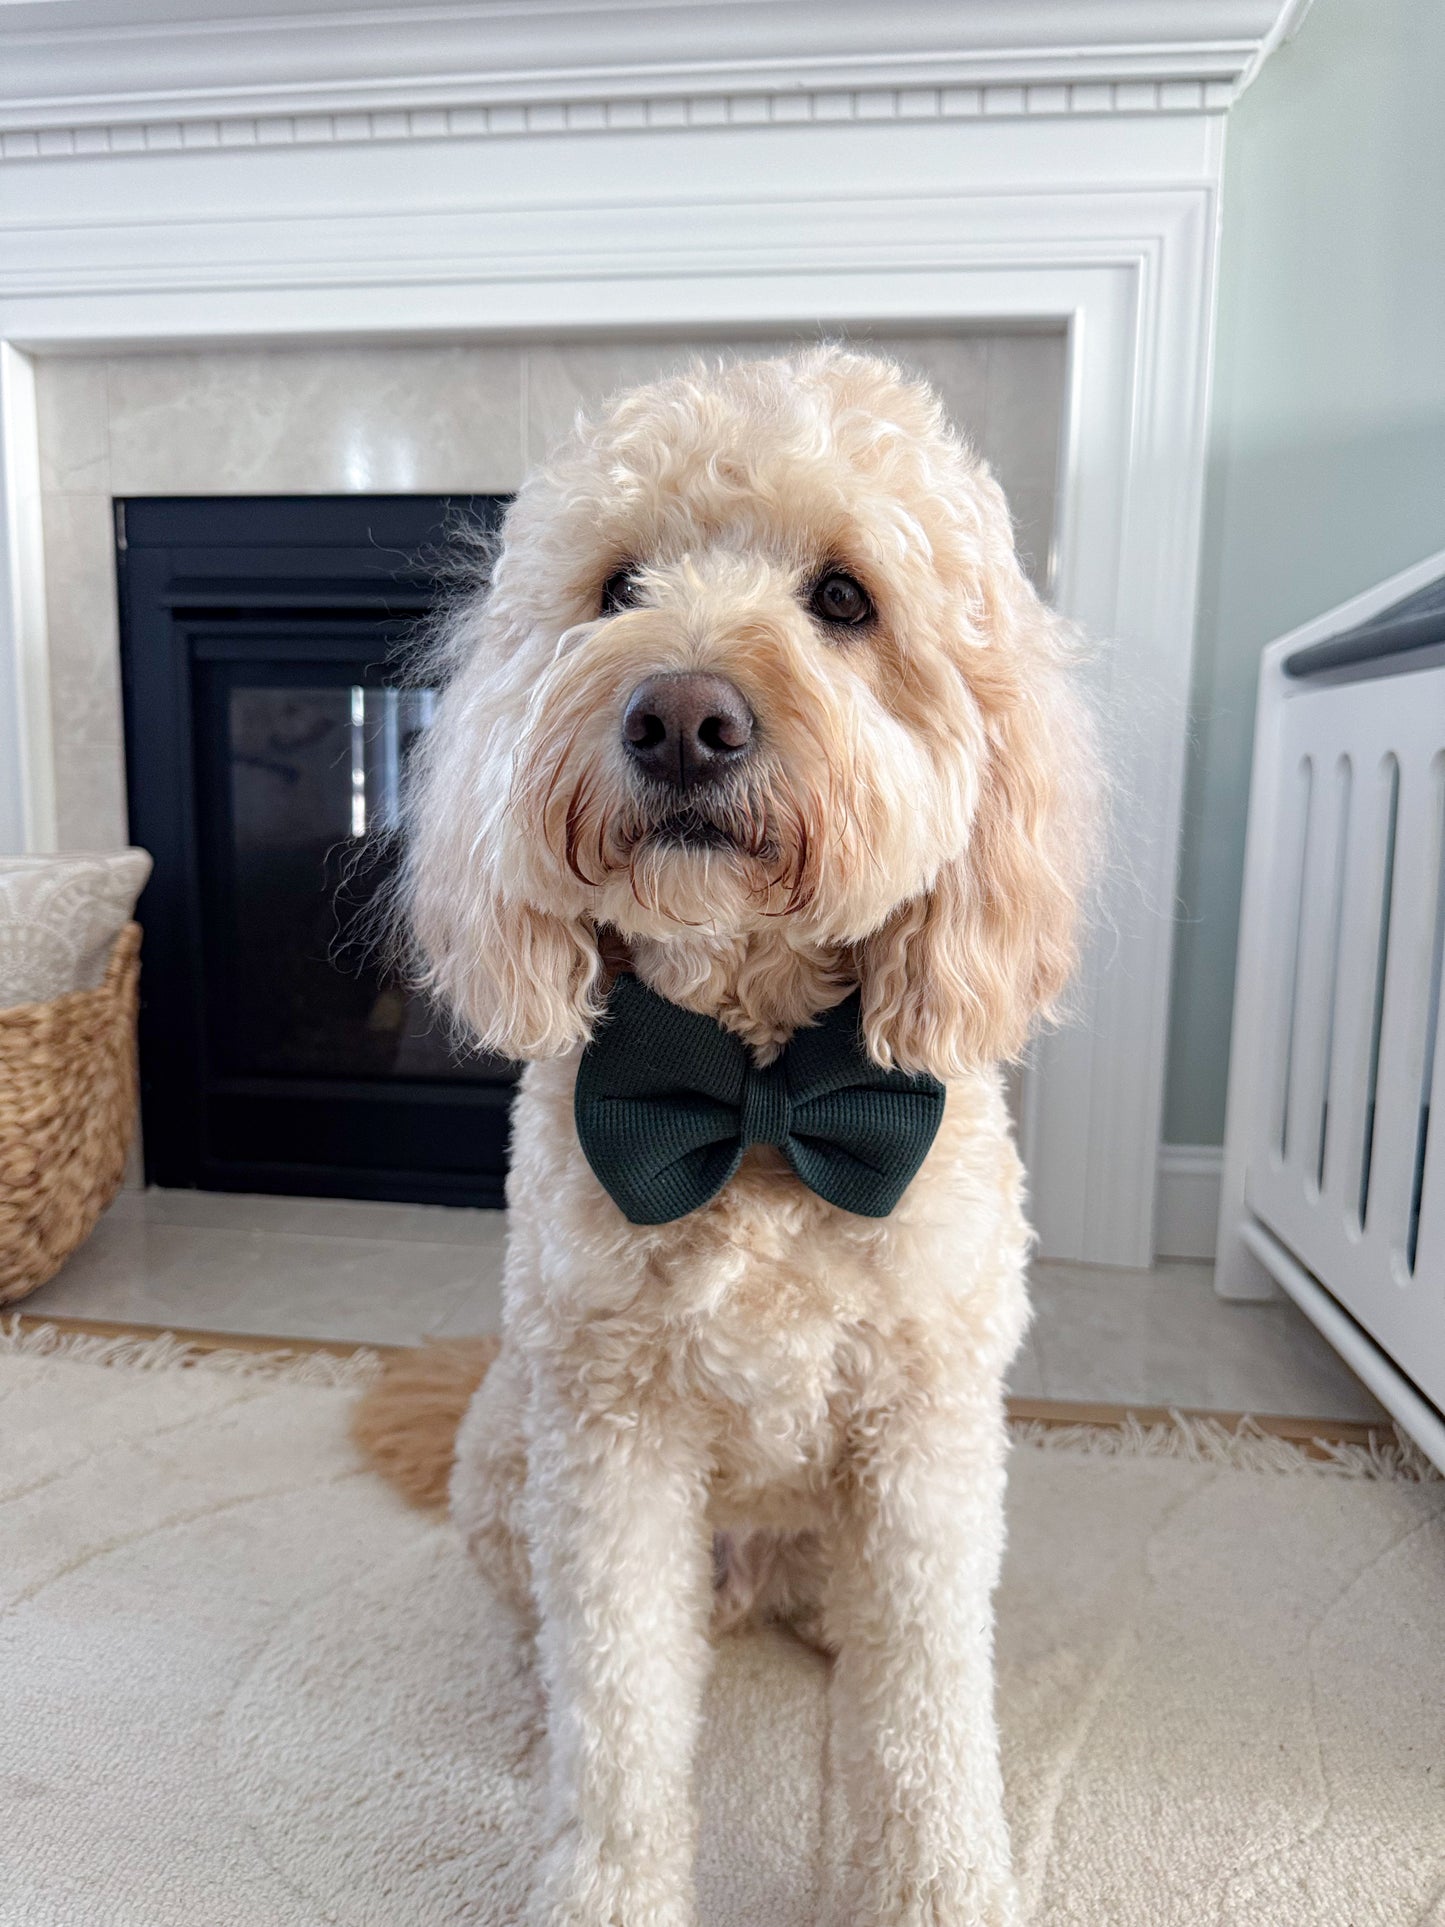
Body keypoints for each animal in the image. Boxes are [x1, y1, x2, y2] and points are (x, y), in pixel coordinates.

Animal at [354, 350, 1094, 1927]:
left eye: (844, 598)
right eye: (617, 586)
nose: (680, 715)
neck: (752, 1090)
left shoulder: (924, 1435)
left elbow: (924, 1706)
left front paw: (934, 1881)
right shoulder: (611, 1438)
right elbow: (624, 1709)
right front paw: (599, 1885)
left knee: (849, 1624)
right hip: (514, 1454)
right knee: (559, 1641)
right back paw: (538, 1708)